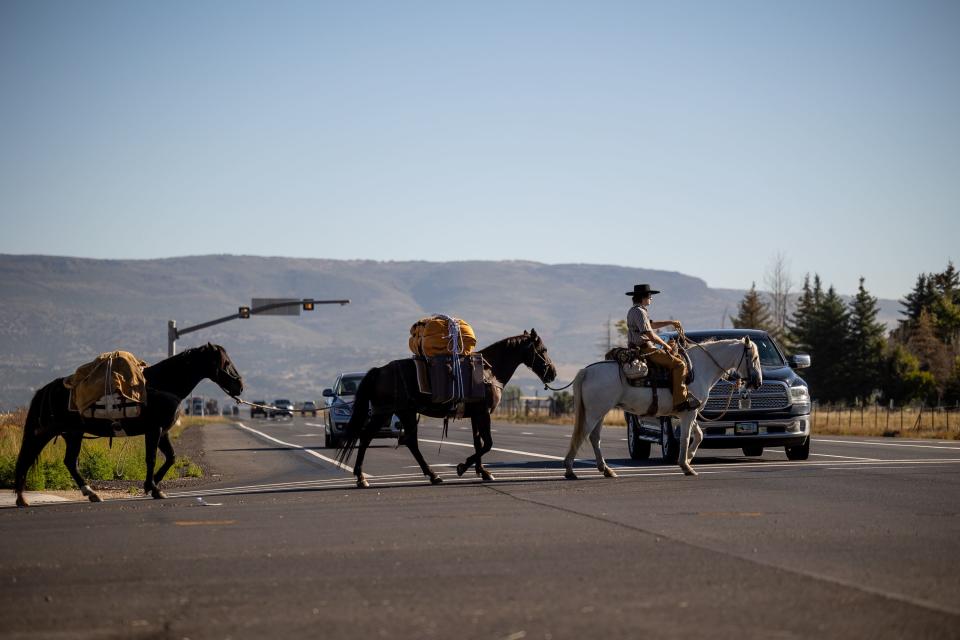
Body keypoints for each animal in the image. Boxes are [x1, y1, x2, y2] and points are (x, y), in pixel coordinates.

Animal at [15, 342, 244, 508]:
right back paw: (22, 498)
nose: (240, 385)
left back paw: (90, 493)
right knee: (29, 458)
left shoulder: (162, 432)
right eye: (225, 362)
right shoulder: (154, 430)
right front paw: (153, 487)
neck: (162, 384)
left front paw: (152, 485)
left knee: (69, 462)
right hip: (49, 432)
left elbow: (170, 457)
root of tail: (47, 389)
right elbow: (151, 459)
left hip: (73, 433)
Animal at [336, 328, 556, 488]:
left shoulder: (475, 414)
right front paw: (462, 467)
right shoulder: (483, 413)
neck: (488, 371)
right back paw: (363, 477)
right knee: (370, 438)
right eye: (544, 350)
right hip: (387, 412)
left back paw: (431, 475)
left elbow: (478, 443)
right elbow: (488, 443)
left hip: (402, 413)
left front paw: (483, 472)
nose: (552, 373)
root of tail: (380, 371)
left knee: (405, 441)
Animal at [568, 338, 760, 478]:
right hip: (594, 413)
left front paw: (689, 458)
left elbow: (698, 435)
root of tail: (586, 371)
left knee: (594, 438)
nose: (758, 383)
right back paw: (570, 471)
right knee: (582, 435)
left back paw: (606, 470)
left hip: (600, 412)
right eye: (755, 357)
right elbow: (685, 438)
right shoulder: (688, 413)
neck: (700, 368)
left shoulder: (689, 412)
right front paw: (686, 466)